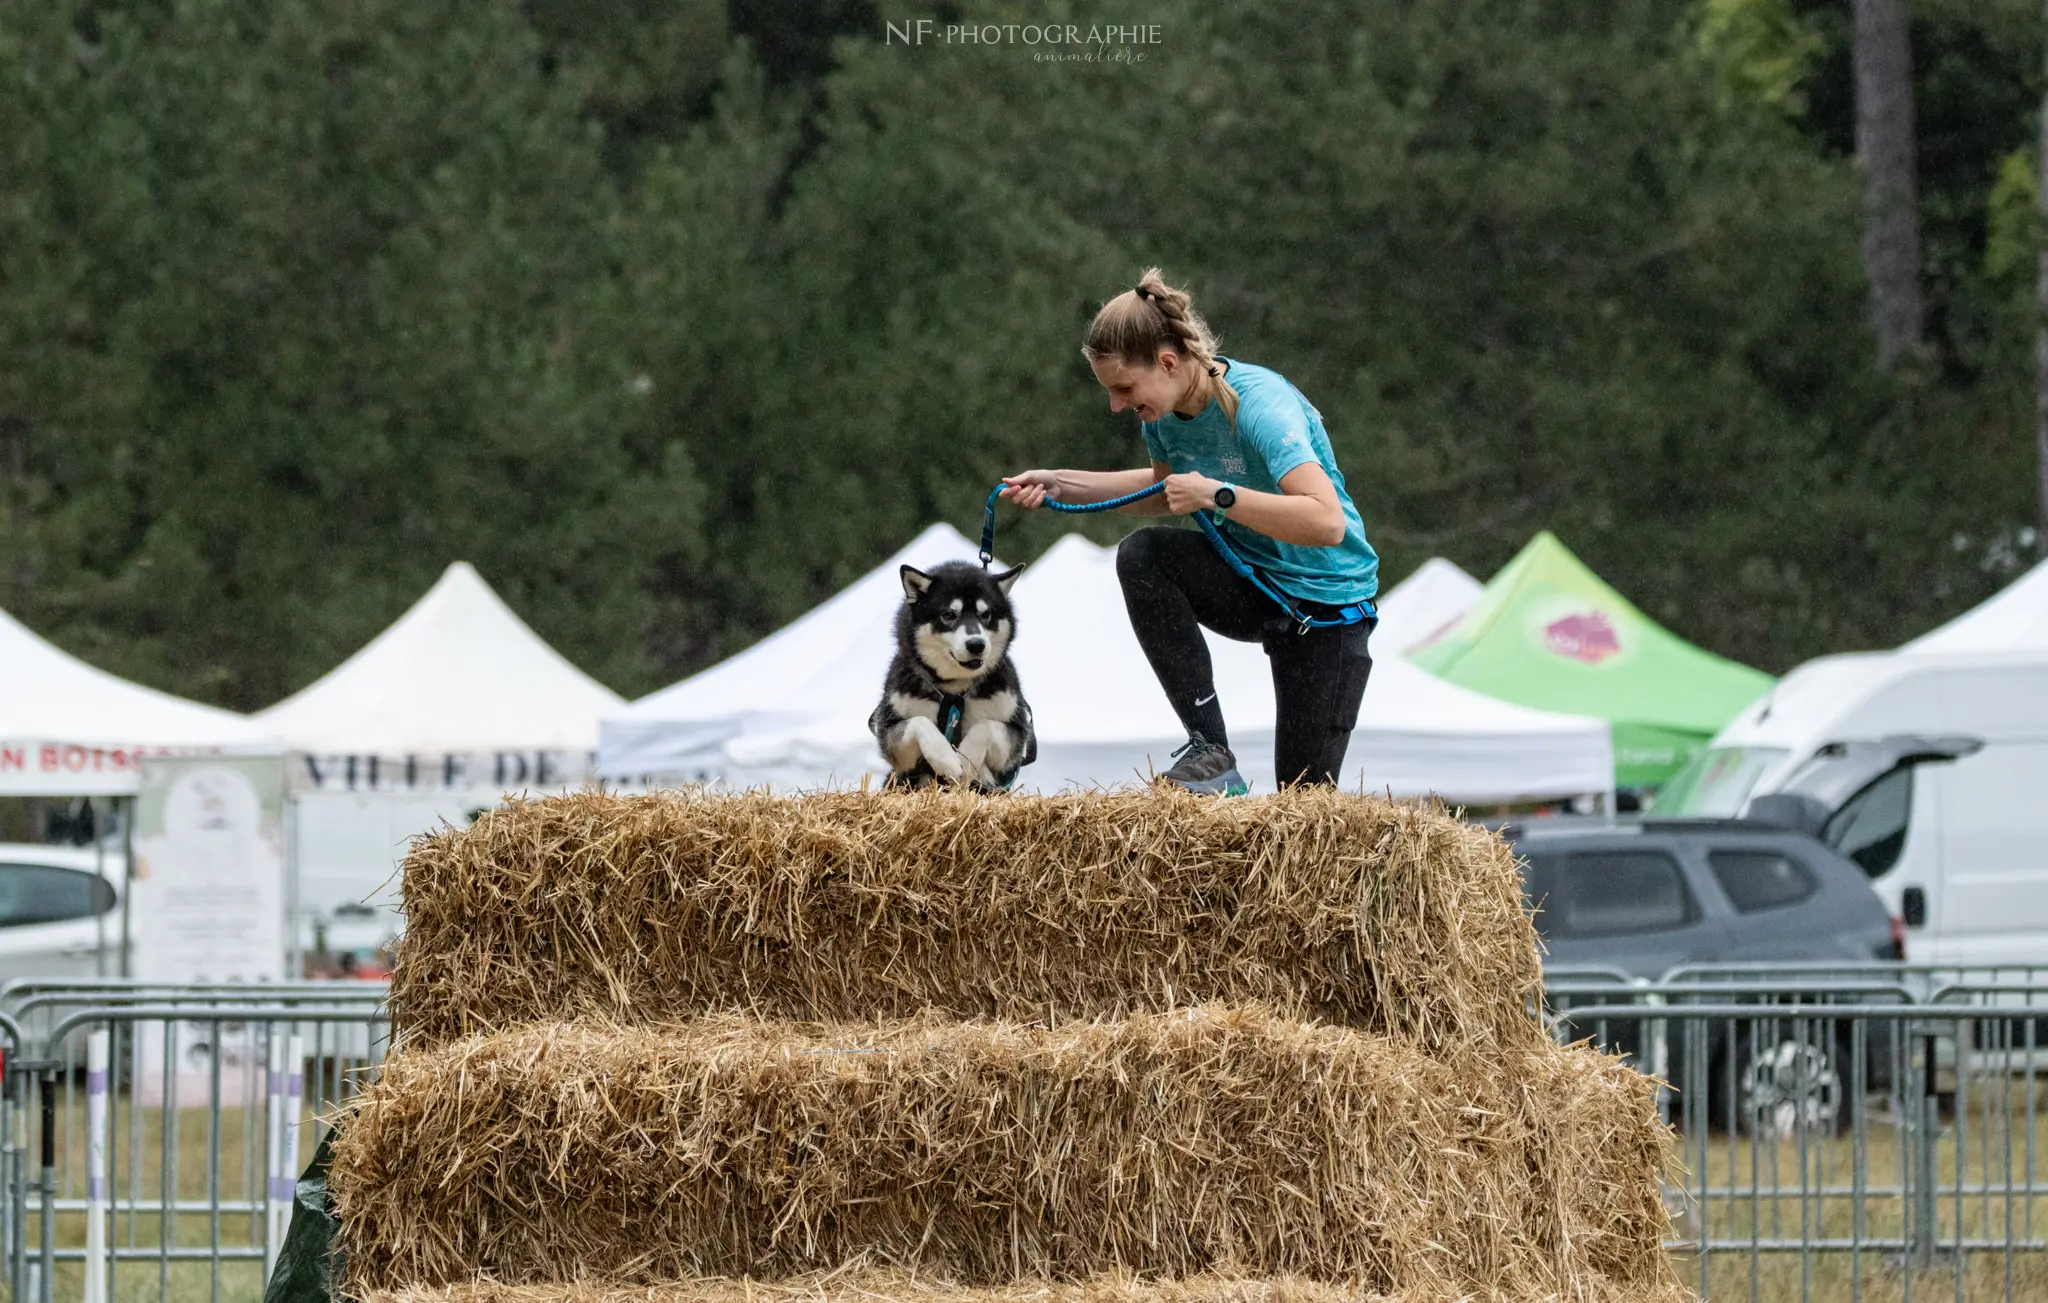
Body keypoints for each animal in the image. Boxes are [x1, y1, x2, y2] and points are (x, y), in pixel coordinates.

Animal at [864, 557, 1032, 782]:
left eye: (986, 614)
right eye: (949, 614)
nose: (976, 644)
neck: (955, 690)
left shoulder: (1016, 734)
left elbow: (985, 726)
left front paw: (968, 759)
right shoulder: (889, 733)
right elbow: (919, 722)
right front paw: (946, 759)